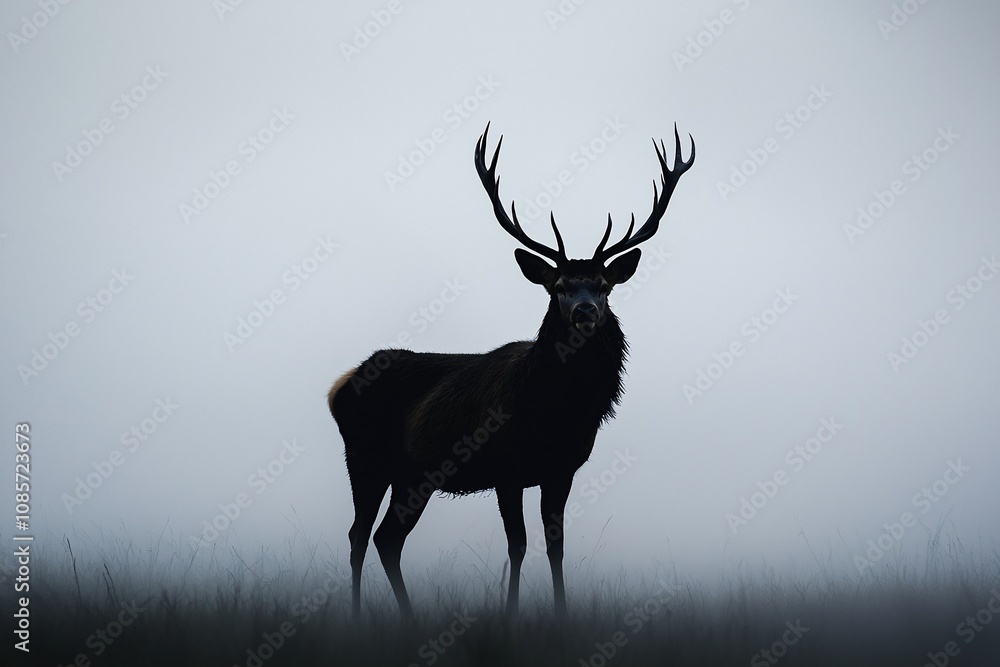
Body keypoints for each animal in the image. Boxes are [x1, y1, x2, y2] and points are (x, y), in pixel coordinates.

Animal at [328, 122, 694, 621]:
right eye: (557, 287)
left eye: (604, 286)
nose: (584, 311)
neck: (554, 415)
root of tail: (338, 386)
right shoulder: (505, 468)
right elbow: (517, 546)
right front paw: (511, 614)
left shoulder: (562, 469)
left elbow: (556, 545)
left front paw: (560, 614)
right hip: (364, 456)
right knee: (358, 535)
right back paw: (356, 615)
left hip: (412, 475)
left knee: (387, 538)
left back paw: (406, 616)